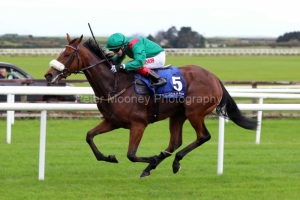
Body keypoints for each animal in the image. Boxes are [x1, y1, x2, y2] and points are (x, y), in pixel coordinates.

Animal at [44, 33, 258, 177]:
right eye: (61, 52)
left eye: (67, 55)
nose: (48, 75)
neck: (114, 84)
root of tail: (214, 77)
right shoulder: (113, 121)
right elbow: (89, 136)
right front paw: (110, 157)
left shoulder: (138, 124)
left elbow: (131, 154)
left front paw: (151, 158)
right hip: (178, 114)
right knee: (175, 142)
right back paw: (154, 166)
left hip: (194, 112)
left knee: (203, 136)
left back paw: (171, 162)